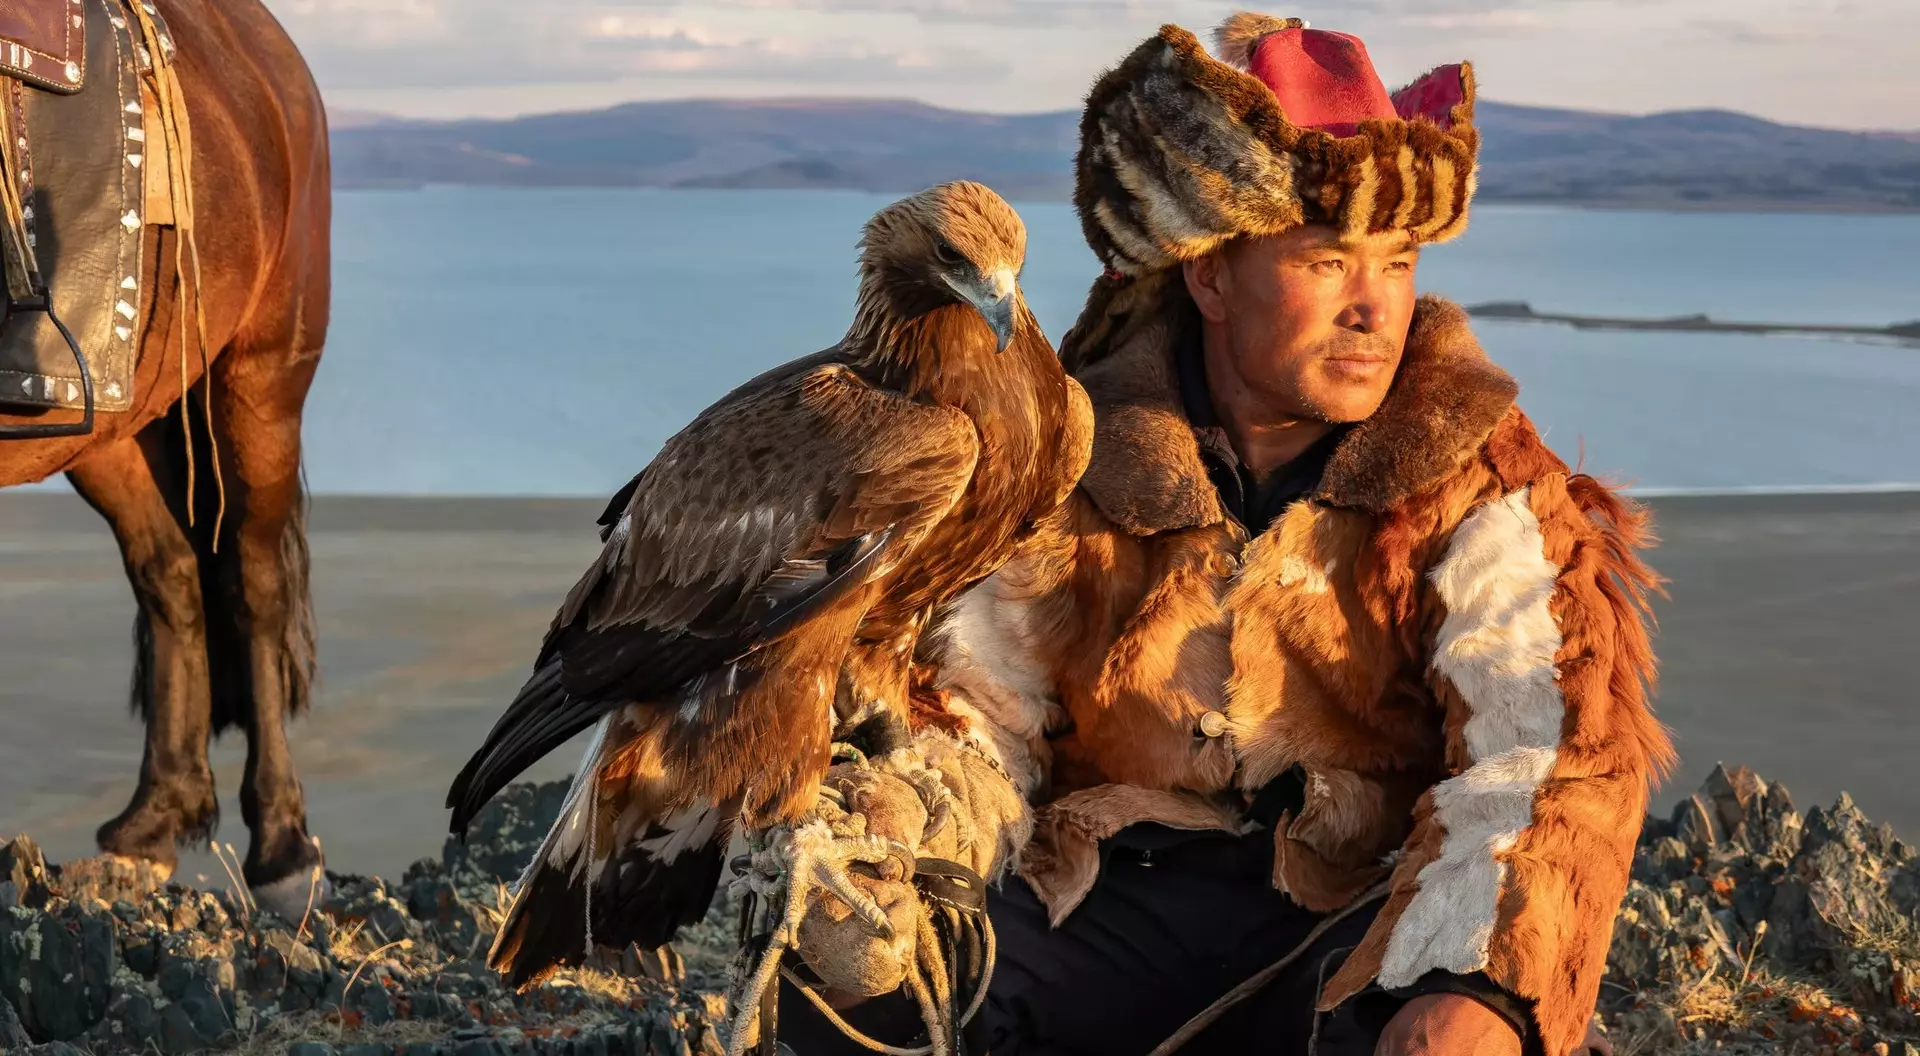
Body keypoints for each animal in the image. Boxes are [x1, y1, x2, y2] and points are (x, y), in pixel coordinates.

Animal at [0, 0, 330, 912]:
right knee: (171, 572)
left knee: (252, 585)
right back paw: (152, 822)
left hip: (259, 386)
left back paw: (283, 848)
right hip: (109, 425)